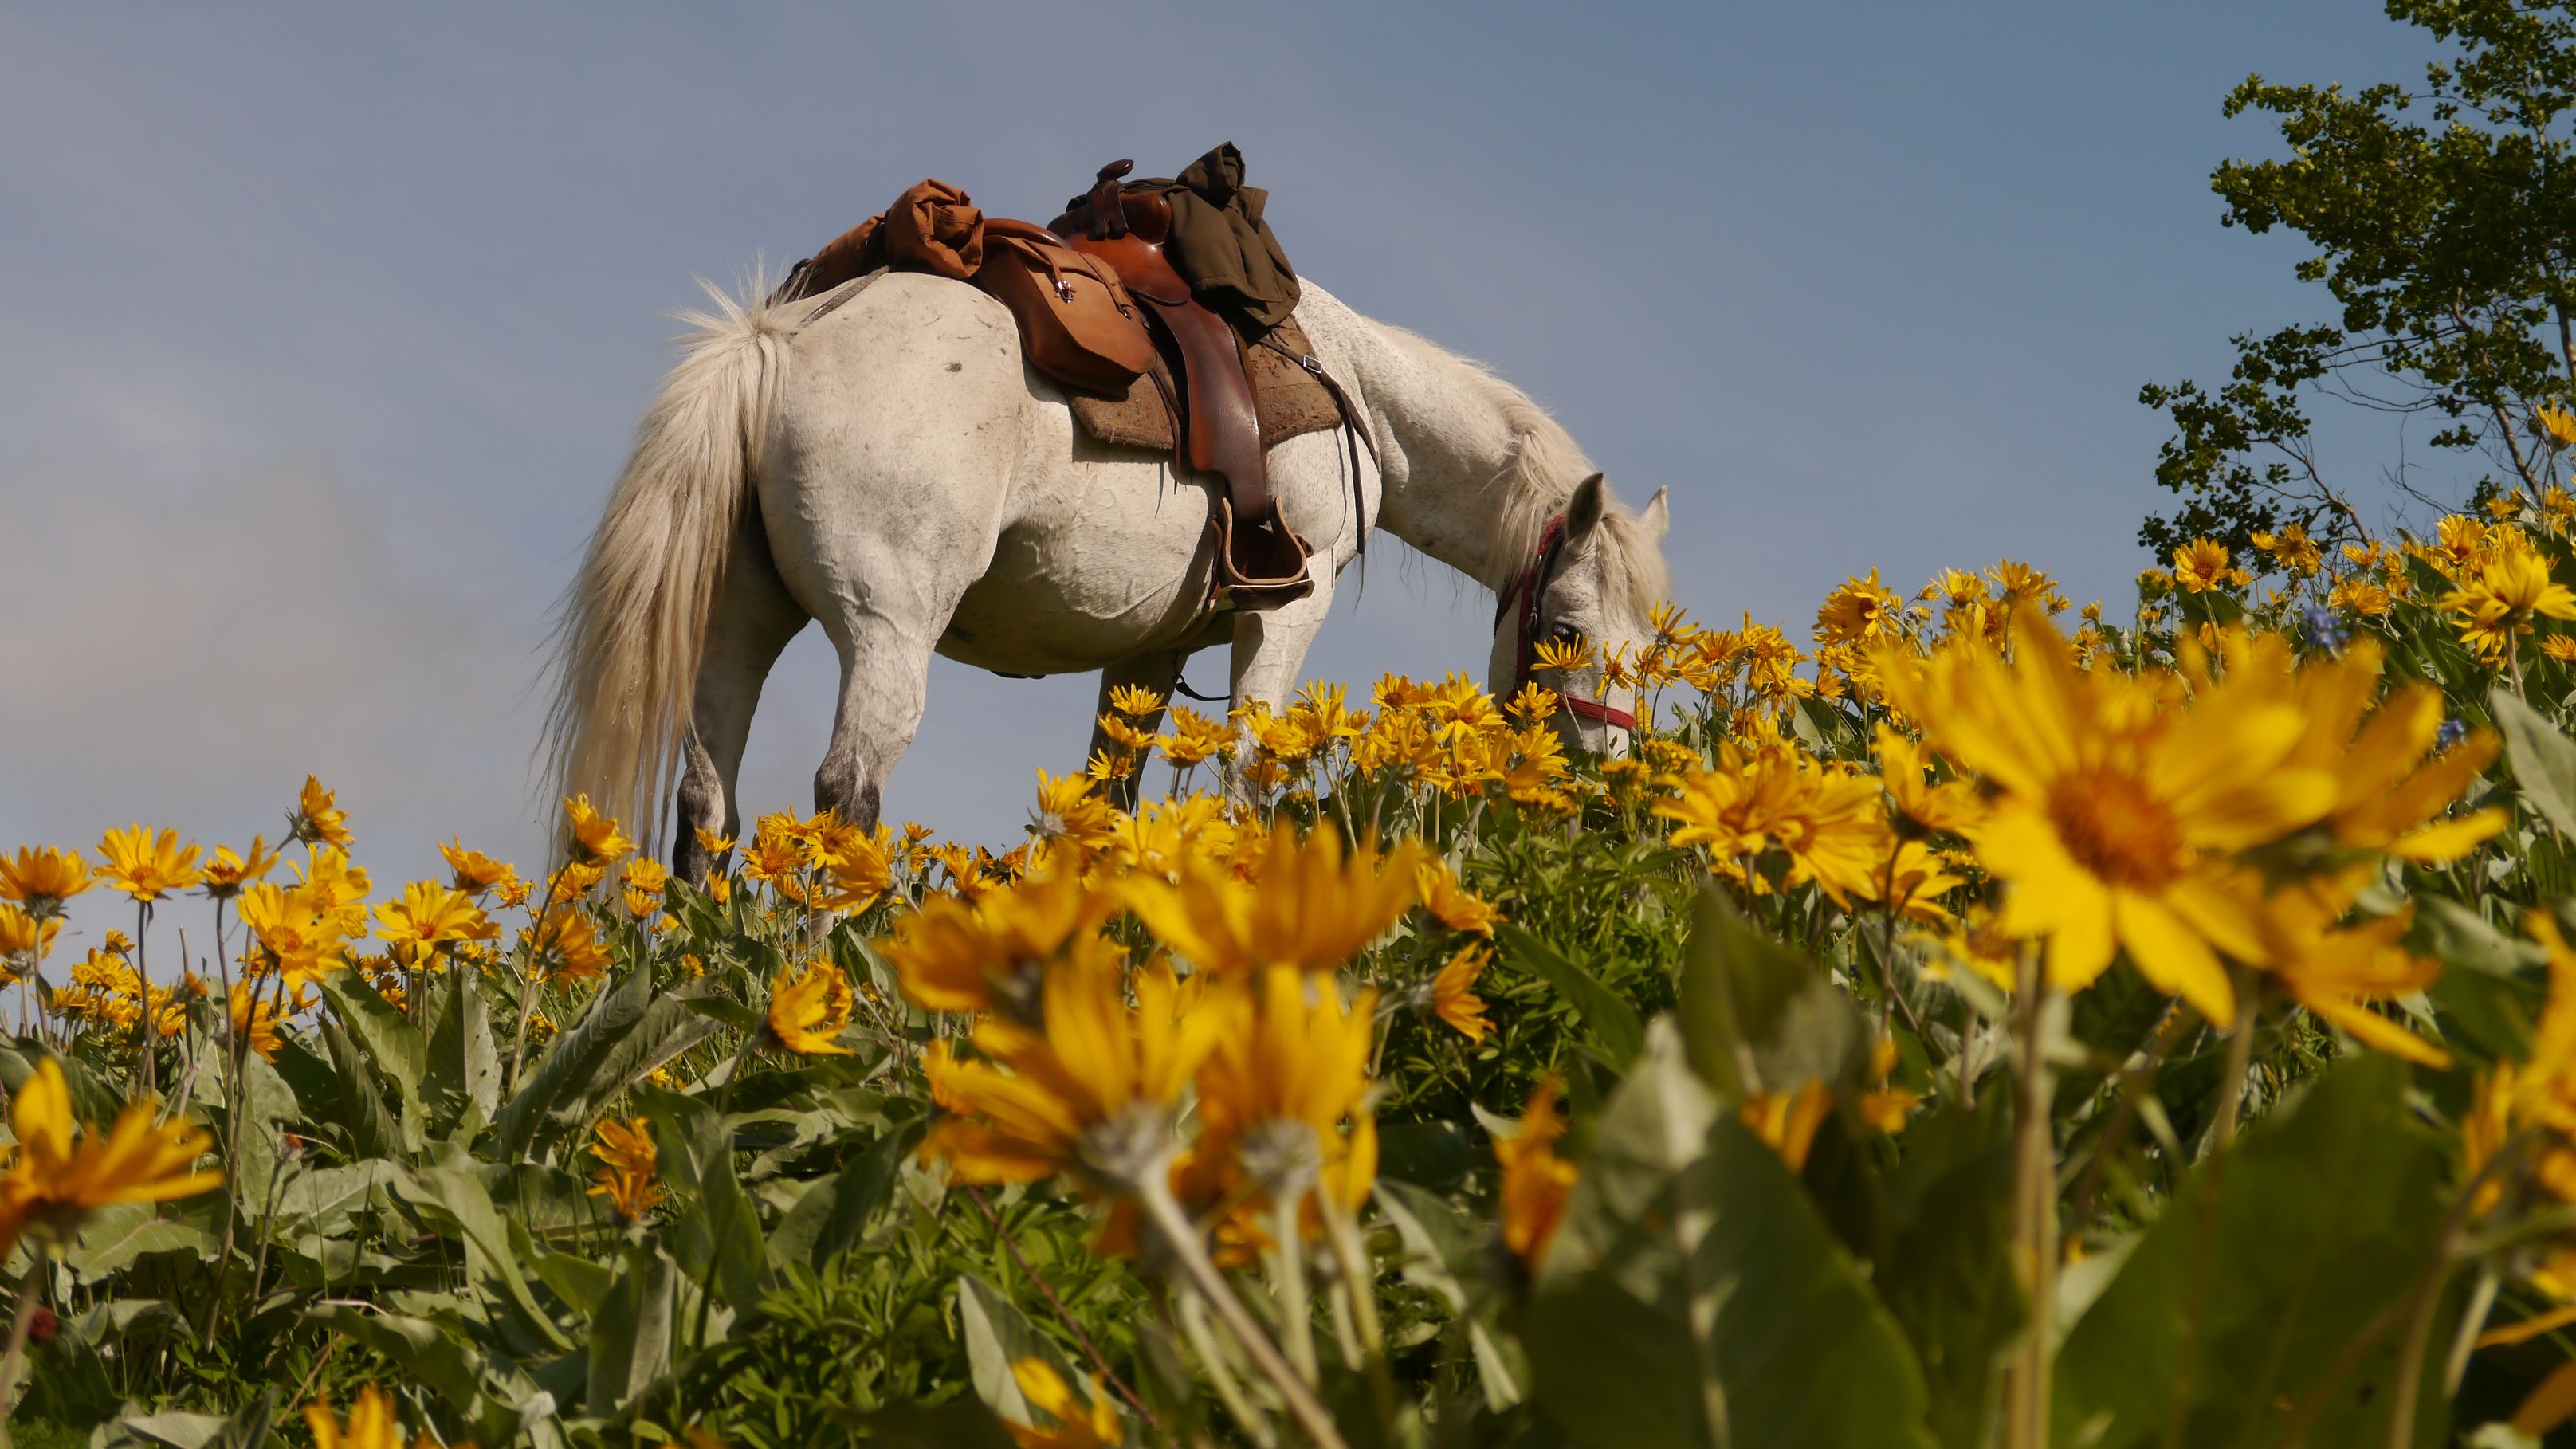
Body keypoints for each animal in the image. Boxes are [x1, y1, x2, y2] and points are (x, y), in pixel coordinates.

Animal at [543, 260, 1669, 876]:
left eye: (1642, 650)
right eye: (1566, 631)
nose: (1606, 778)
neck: (1352, 391)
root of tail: (783, 336)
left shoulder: (1148, 657)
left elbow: (1106, 808)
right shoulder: (1282, 617)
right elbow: (1249, 781)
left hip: (739, 626)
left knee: (706, 805)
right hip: (888, 633)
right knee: (844, 795)